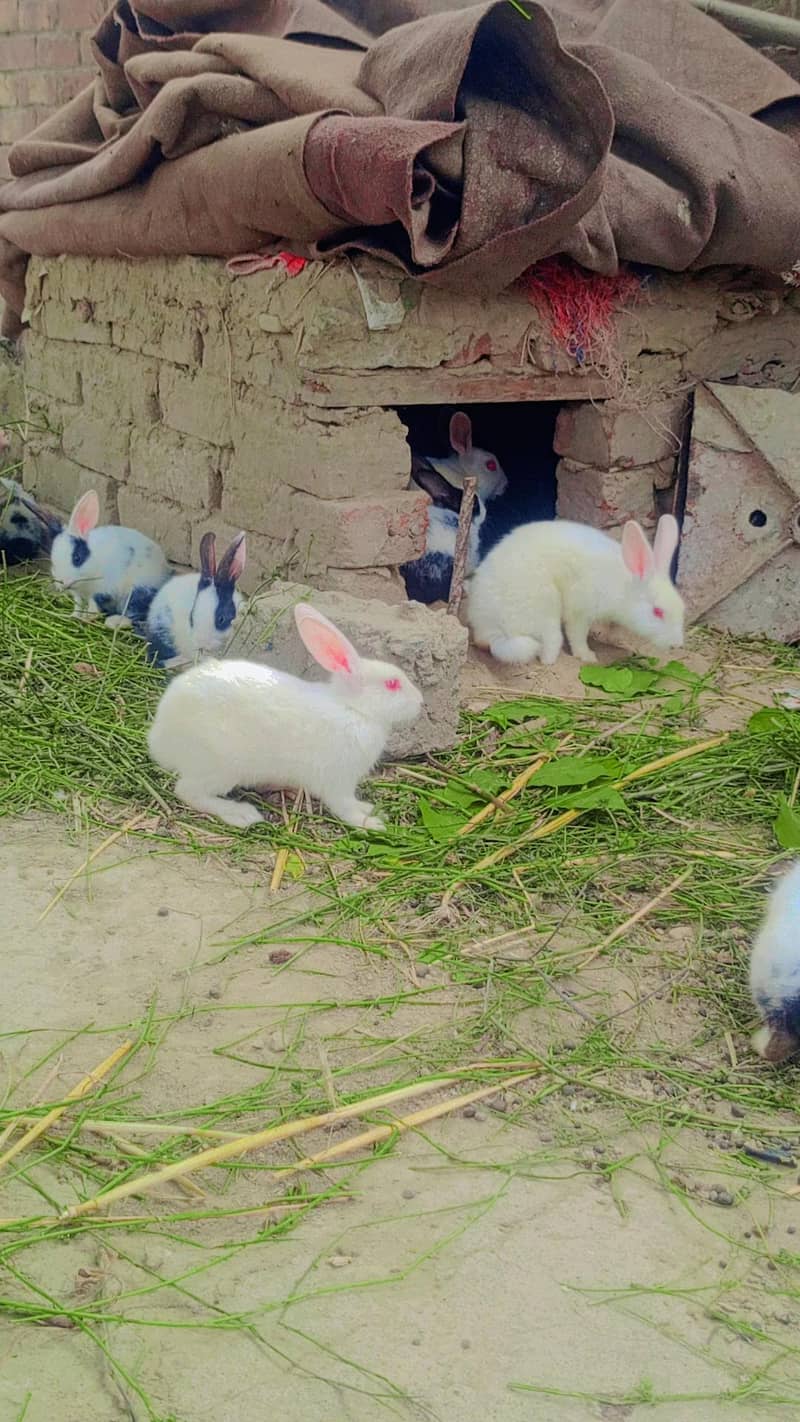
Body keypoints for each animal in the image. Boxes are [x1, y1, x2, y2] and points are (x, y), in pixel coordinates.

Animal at [49, 489, 171, 625]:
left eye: (77, 558)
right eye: (53, 563)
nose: (63, 583)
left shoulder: (102, 590)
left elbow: (93, 607)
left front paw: (87, 618)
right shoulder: (78, 593)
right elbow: (78, 605)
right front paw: (73, 616)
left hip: (136, 593)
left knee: (136, 617)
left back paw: (113, 622)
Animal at [147, 602, 424, 832]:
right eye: (392, 684)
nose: (421, 701)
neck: (353, 709)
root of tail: (159, 738)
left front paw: (370, 810)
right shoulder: (337, 781)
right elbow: (344, 807)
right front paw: (371, 823)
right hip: (220, 767)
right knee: (188, 791)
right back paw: (241, 814)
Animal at [466, 514, 684, 665]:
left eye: (682, 608)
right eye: (658, 612)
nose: (677, 645)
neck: (622, 584)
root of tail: (490, 630)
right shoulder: (580, 611)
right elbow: (577, 635)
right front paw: (587, 656)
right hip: (545, 610)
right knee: (550, 646)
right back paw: (551, 660)